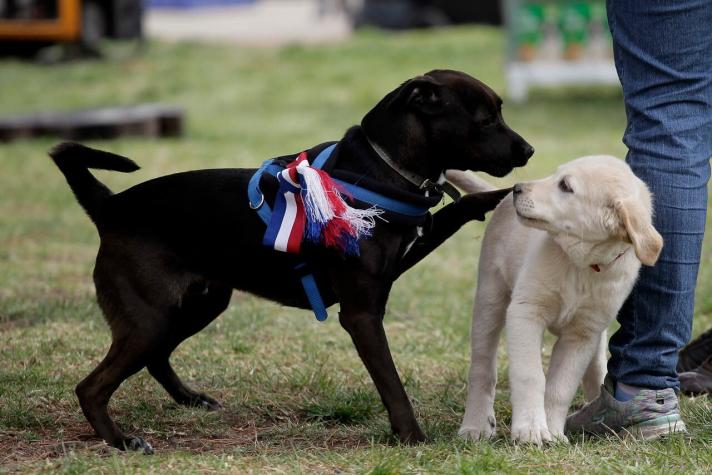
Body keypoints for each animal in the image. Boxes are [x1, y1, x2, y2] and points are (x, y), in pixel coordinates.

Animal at [51, 69, 536, 454]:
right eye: (486, 120)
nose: (528, 151)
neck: (380, 169)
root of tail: (111, 207)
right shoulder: (361, 315)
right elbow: (392, 385)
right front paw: (412, 437)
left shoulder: (406, 251)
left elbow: (461, 206)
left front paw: (504, 197)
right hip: (151, 318)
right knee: (91, 387)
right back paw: (121, 440)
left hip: (198, 305)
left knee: (155, 358)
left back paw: (190, 400)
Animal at [448, 158, 664, 444]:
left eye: (565, 186)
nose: (517, 188)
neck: (581, 265)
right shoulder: (525, 313)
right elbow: (531, 376)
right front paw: (530, 429)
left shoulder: (583, 333)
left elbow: (560, 388)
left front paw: (551, 430)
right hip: (490, 299)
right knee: (482, 369)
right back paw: (476, 426)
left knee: (596, 367)